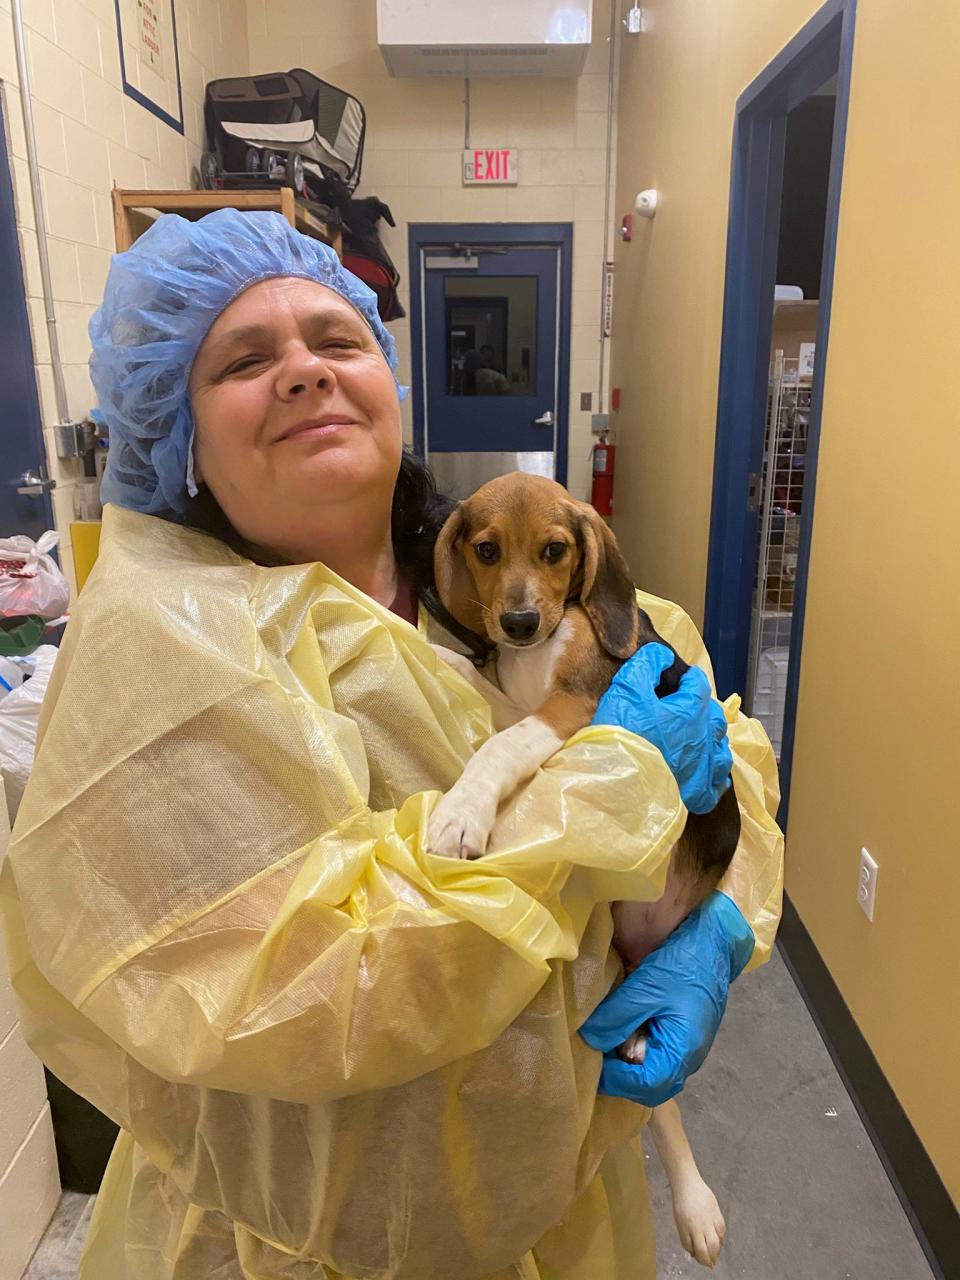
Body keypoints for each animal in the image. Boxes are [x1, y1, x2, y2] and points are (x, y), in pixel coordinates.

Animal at [432, 473, 742, 1269]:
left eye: (555, 550)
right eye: (485, 550)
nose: (517, 622)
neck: (548, 641)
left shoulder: (574, 704)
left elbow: (502, 747)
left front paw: (461, 812)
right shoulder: (528, 700)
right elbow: (491, 697)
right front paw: (442, 655)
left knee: (661, 1091)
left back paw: (695, 1204)